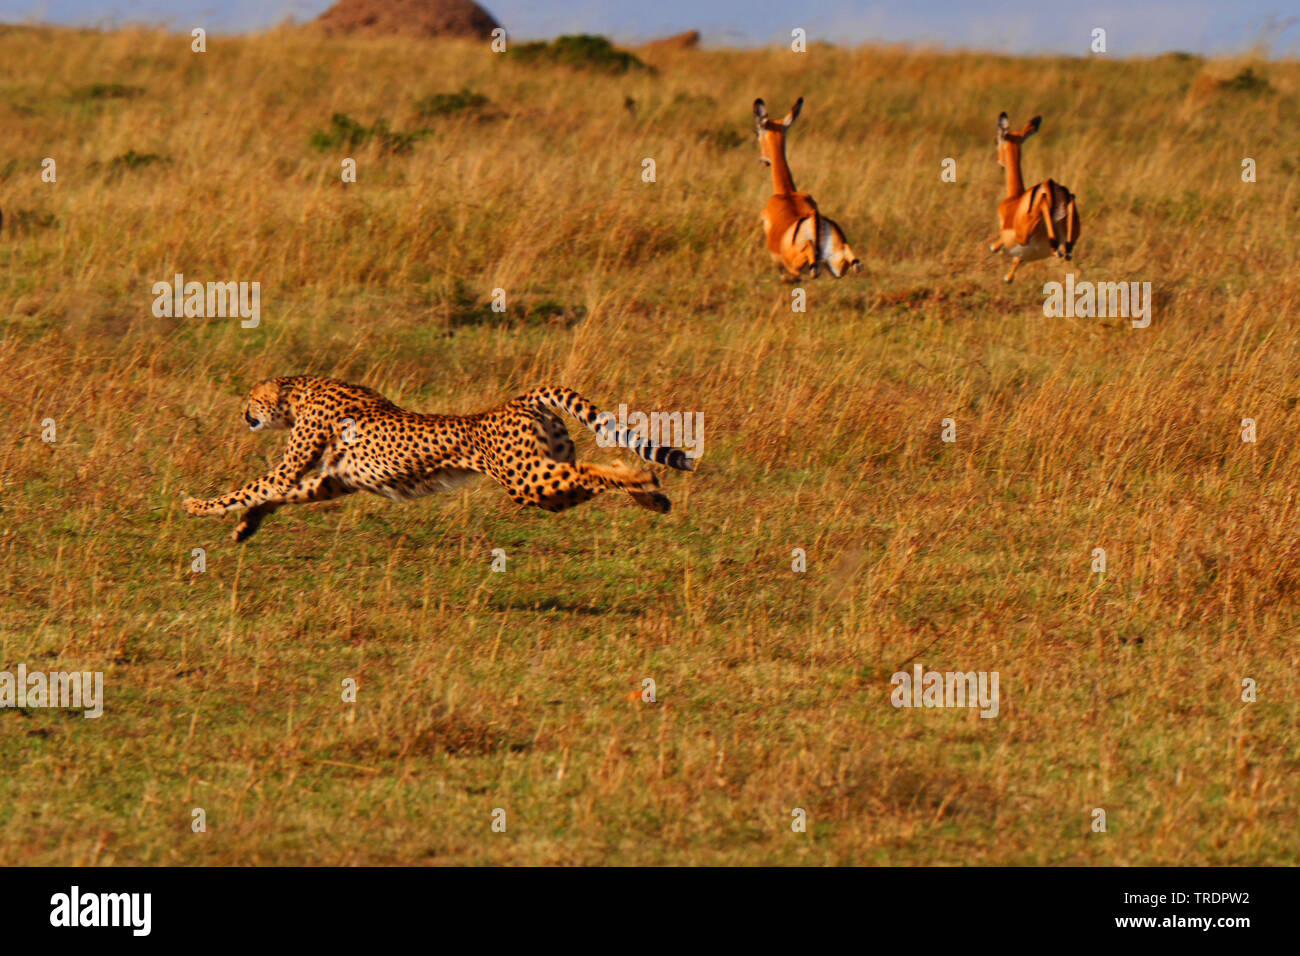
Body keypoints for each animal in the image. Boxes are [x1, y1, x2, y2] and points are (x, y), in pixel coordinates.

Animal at [183, 374, 702, 541]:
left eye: (253, 397)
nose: (243, 413)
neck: (302, 390)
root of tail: (515, 401)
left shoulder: (299, 461)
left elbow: (255, 486)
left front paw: (196, 506)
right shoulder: (333, 479)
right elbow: (278, 495)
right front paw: (245, 527)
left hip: (528, 482)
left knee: (593, 469)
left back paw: (642, 480)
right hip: (546, 479)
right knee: (587, 473)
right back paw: (651, 494)